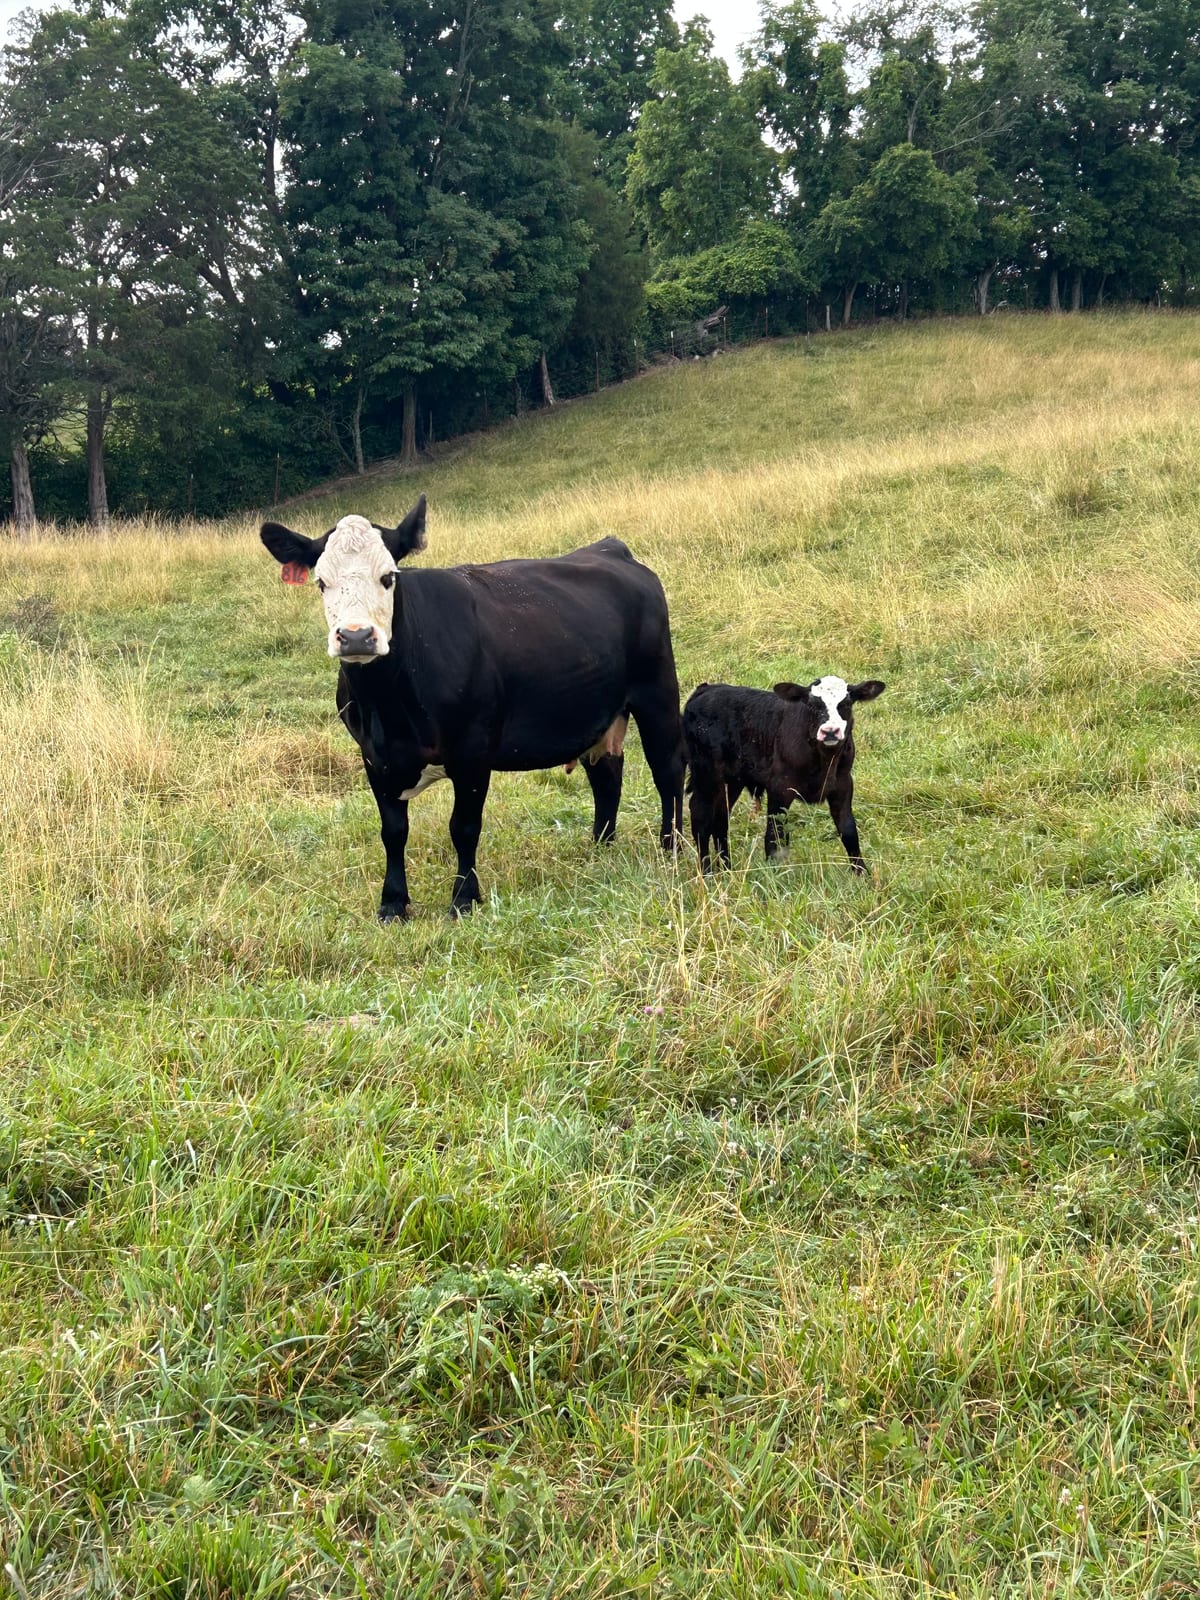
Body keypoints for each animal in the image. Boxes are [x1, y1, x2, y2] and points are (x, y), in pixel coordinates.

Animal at [260, 497, 685, 919]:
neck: (390, 712)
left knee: (668, 770)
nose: (356, 636)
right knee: (606, 775)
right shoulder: (374, 757)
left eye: (388, 577)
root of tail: (609, 548)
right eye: (321, 582)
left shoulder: (473, 752)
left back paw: (672, 845)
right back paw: (599, 847)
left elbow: (463, 827)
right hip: (595, 714)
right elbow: (393, 831)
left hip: (657, 692)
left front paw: (464, 897)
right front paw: (393, 902)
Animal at [682, 675, 886, 873]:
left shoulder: (843, 784)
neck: (824, 758)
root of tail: (706, 688)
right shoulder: (780, 788)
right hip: (706, 774)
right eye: (812, 705)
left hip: (732, 781)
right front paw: (774, 873)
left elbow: (848, 830)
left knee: (720, 819)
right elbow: (774, 834)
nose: (830, 731)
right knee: (700, 817)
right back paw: (707, 873)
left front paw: (861, 873)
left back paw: (726, 870)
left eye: (846, 703)